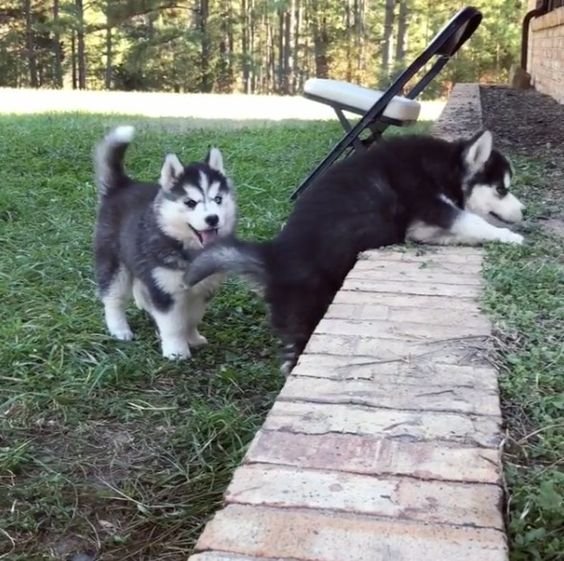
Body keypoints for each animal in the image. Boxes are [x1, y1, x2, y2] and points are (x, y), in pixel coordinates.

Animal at [94, 124, 236, 356]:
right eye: (190, 202)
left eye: (218, 199)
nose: (213, 219)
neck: (188, 250)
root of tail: (123, 185)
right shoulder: (166, 290)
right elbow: (174, 324)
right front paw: (176, 351)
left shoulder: (202, 289)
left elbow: (192, 318)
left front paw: (193, 338)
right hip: (114, 261)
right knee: (113, 297)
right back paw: (119, 329)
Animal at [183, 128, 528, 372]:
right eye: (502, 189)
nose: (524, 212)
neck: (444, 169)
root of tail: (273, 258)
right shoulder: (433, 206)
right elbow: (473, 221)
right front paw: (510, 237)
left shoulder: (419, 228)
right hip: (308, 313)